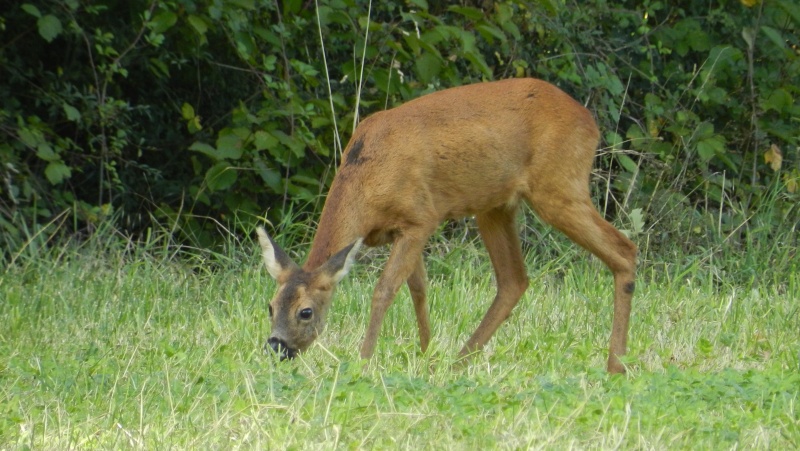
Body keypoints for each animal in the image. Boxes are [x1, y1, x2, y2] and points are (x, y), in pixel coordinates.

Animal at [256, 77, 636, 374]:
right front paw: (427, 357)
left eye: (305, 312)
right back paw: (458, 362)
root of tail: (589, 120)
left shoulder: (420, 217)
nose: (276, 348)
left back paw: (615, 365)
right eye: (270, 306)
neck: (367, 175)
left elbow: (385, 290)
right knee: (514, 279)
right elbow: (419, 289)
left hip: (558, 183)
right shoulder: (401, 230)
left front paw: (363, 362)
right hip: (496, 205)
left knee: (624, 248)